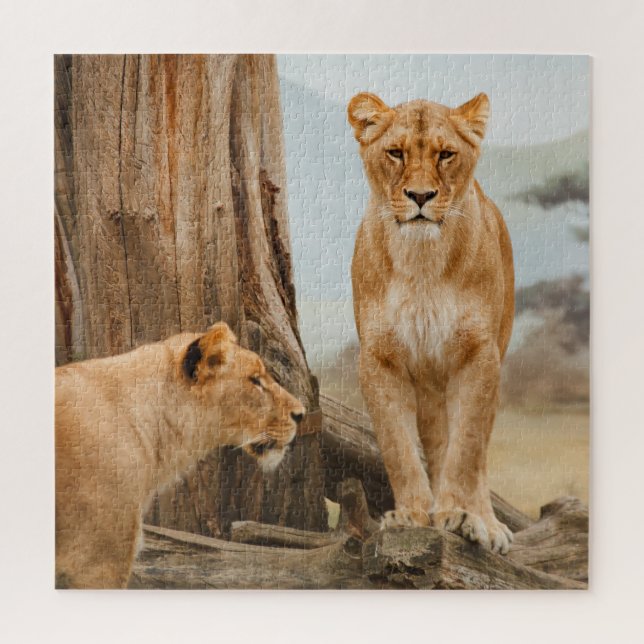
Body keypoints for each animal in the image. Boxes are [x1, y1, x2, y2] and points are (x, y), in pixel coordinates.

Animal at [348, 92, 515, 554]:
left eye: (445, 154)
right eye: (395, 152)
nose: (420, 196)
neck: (421, 261)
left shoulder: (478, 356)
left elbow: (467, 450)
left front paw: (459, 515)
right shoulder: (379, 359)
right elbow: (398, 446)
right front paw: (412, 515)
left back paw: (487, 523)